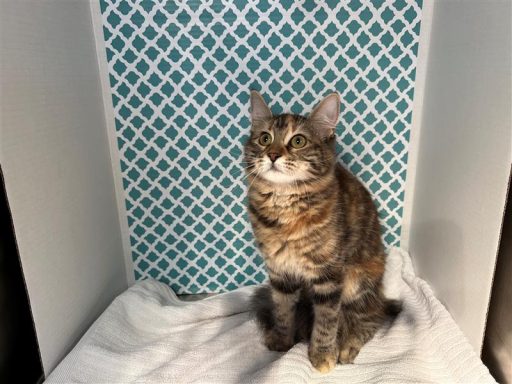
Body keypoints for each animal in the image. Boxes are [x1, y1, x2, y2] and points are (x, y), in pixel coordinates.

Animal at [244, 90, 400, 372]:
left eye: (298, 141)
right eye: (264, 139)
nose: (272, 155)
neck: (284, 206)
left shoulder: (329, 275)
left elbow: (327, 322)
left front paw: (322, 355)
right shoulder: (280, 272)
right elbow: (282, 311)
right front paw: (282, 340)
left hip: (358, 281)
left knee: (369, 318)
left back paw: (347, 346)